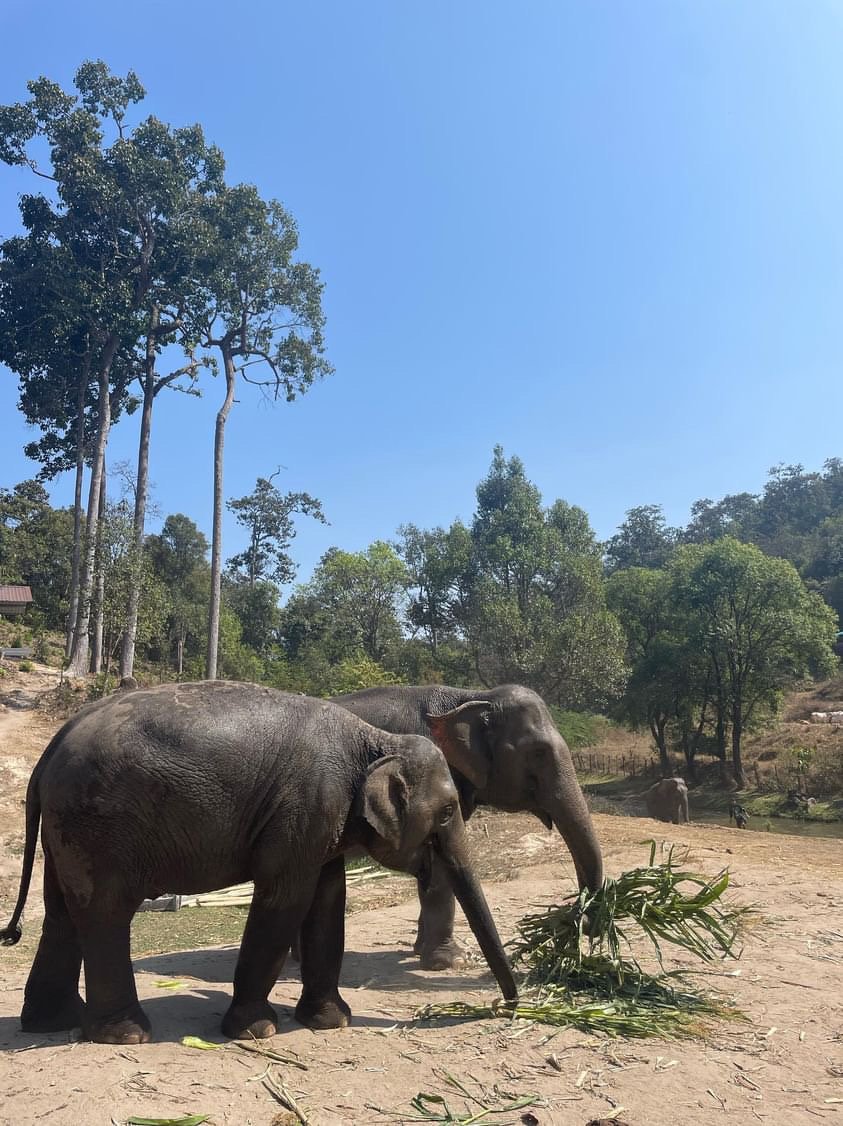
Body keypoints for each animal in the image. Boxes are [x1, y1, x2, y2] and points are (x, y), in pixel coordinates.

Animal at [1, 681, 516, 1045]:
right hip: (99, 823)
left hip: (69, 828)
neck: (374, 740)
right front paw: (256, 1030)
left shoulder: (323, 818)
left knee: (62, 912)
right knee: (105, 912)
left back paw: (54, 1022)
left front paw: (331, 1022)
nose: (509, 1007)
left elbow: (328, 901)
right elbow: (284, 900)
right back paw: (125, 1034)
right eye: (447, 812)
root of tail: (51, 749)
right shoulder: (305, 807)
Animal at [331, 683, 604, 971]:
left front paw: (419, 950)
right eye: (539, 752)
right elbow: (440, 866)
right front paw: (449, 962)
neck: (470, 697)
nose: (580, 918)